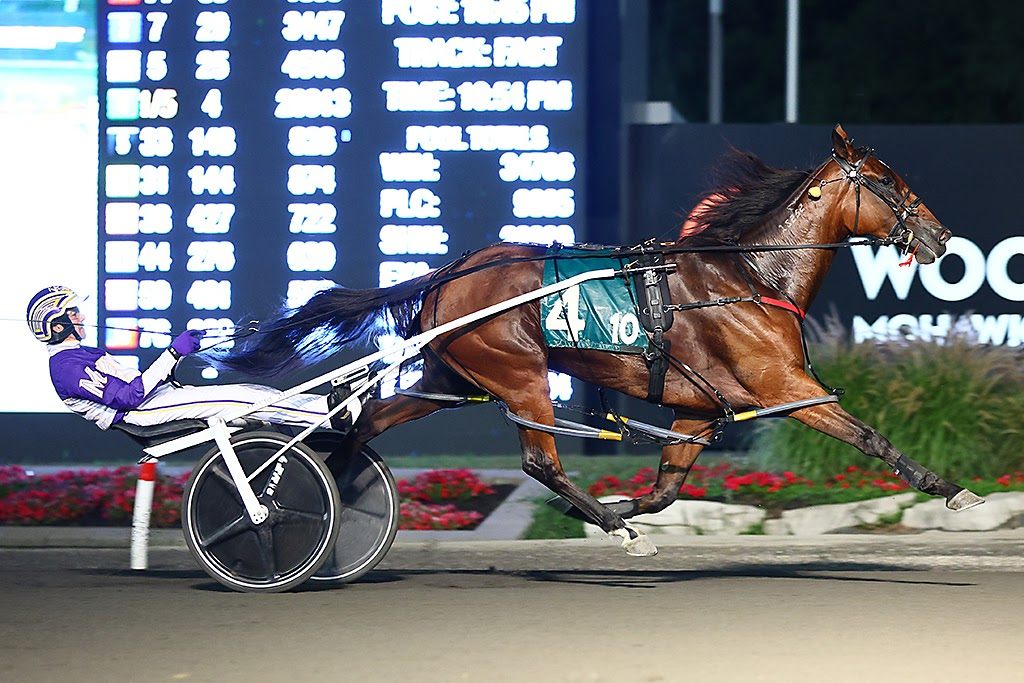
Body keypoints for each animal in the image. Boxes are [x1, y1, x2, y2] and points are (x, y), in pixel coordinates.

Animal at [218, 125, 983, 557]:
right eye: (885, 182)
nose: (942, 235)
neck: (747, 273)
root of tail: (448, 272)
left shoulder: (695, 410)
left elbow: (667, 488)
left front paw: (620, 510)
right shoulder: (784, 388)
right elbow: (870, 436)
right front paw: (949, 489)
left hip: (448, 378)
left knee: (366, 421)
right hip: (520, 374)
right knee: (538, 460)